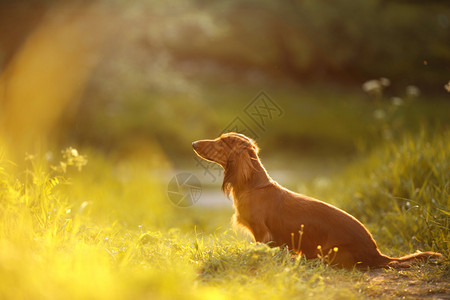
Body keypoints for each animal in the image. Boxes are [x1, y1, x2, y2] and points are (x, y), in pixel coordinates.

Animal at [192, 132, 442, 268]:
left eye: (222, 142)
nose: (194, 144)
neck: (254, 187)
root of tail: (377, 253)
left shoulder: (262, 234)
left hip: (329, 253)